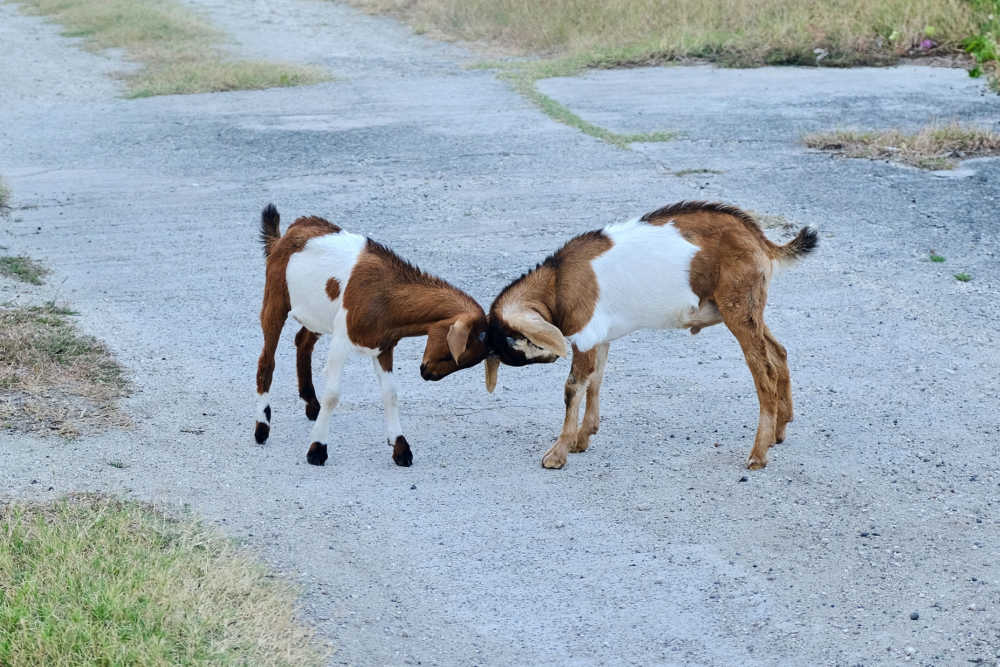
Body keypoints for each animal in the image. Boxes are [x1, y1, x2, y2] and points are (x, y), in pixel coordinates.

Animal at [254, 206, 488, 468]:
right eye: (453, 352)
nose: (428, 374)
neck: (385, 294)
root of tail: (285, 236)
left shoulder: (383, 346)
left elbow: (390, 394)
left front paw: (401, 448)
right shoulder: (341, 341)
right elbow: (333, 395)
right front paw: (317, 449)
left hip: (318, 314)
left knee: (302, 342)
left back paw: (311, 404)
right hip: (275, 298)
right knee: (267, 361)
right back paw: (262, 428)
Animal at [484, 202, 820, 470]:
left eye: (512, 343)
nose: (551, 356)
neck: (557, 281)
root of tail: (758, 238)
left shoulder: (585, 335)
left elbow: (573, 388)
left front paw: (557, 454)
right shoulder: (600, 338)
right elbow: (595, 380)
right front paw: (582, 438)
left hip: (738, 309)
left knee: (764, 372)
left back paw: (758, 454)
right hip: (749, 311)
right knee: (779, 352)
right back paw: (779, 430)